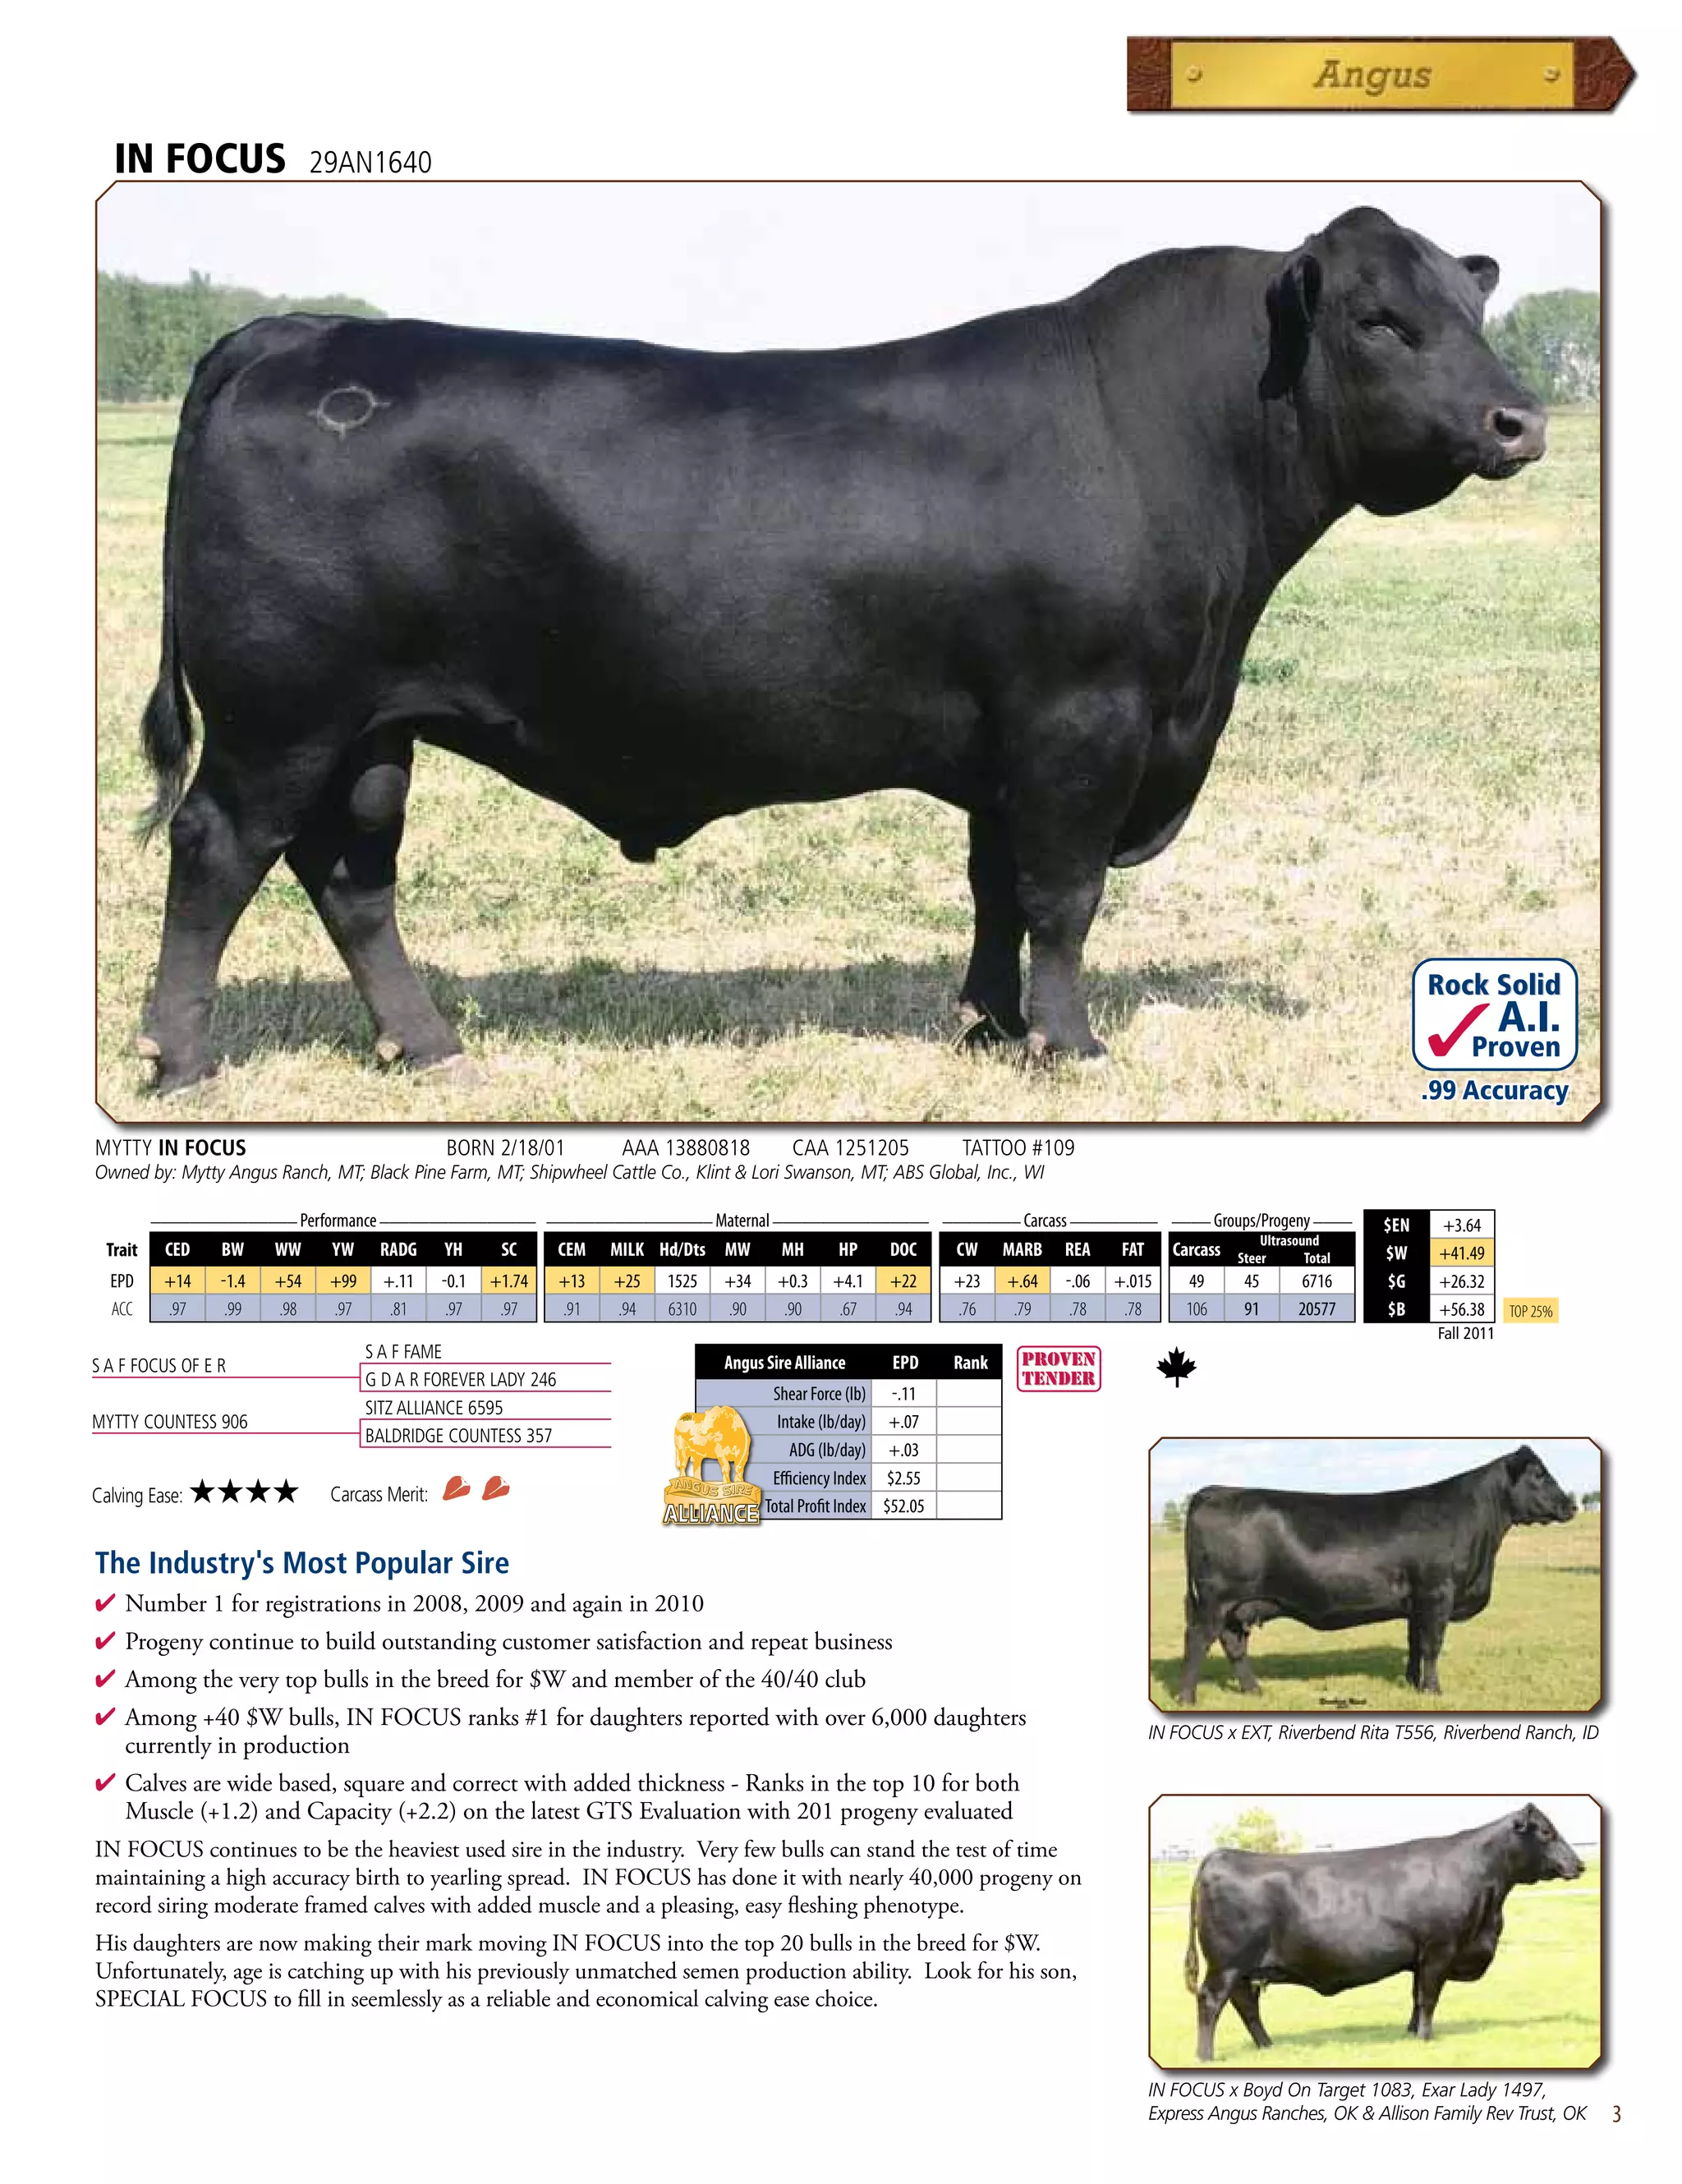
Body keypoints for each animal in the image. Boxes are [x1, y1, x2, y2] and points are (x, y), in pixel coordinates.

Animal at [133, 206, 1546, 1092]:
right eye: (1379, 319)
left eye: (1471, 306)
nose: (1517, 420)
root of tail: (305, 331)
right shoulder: (1082, 722)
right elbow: (1064, 895)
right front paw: (1069, 1045)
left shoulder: (1008, 745)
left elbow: (995, 889)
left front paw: (988, 1026)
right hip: (281, 716)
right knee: (221, 850)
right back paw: (182, 1060)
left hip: (372, 730)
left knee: (349, 876)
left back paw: (427, 1048)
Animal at [1177, 1445, 1575, 1703]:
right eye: (1539, 1475)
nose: (1570, 1505)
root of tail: (1212, 1491)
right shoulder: (1437, 1592)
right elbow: (1432, 1645)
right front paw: (1433, 1691)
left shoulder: (1417, 1602)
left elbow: (1415, 1644)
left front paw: (1413, 1684)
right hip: (1216, 1599)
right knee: (1198, 1639)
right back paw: (1187, 1698)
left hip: (1237, 1605)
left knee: (1233, 1643)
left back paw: (1255, 1691)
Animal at [1182, 1803, 1584, 2060]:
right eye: (1546, 1832)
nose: (1580, 1864)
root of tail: (1220, 1855)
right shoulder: (1440, 1947)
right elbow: (1429, 1996)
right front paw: (1426, 2038)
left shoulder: (1421, 1955)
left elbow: (1417, 1995)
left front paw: (1411, 2032)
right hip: (1226, 1965)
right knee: (1211, 2002)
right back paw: (1206, 2056)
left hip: (1242, 1969)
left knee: (1245, 2004)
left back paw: (1267, 2046)